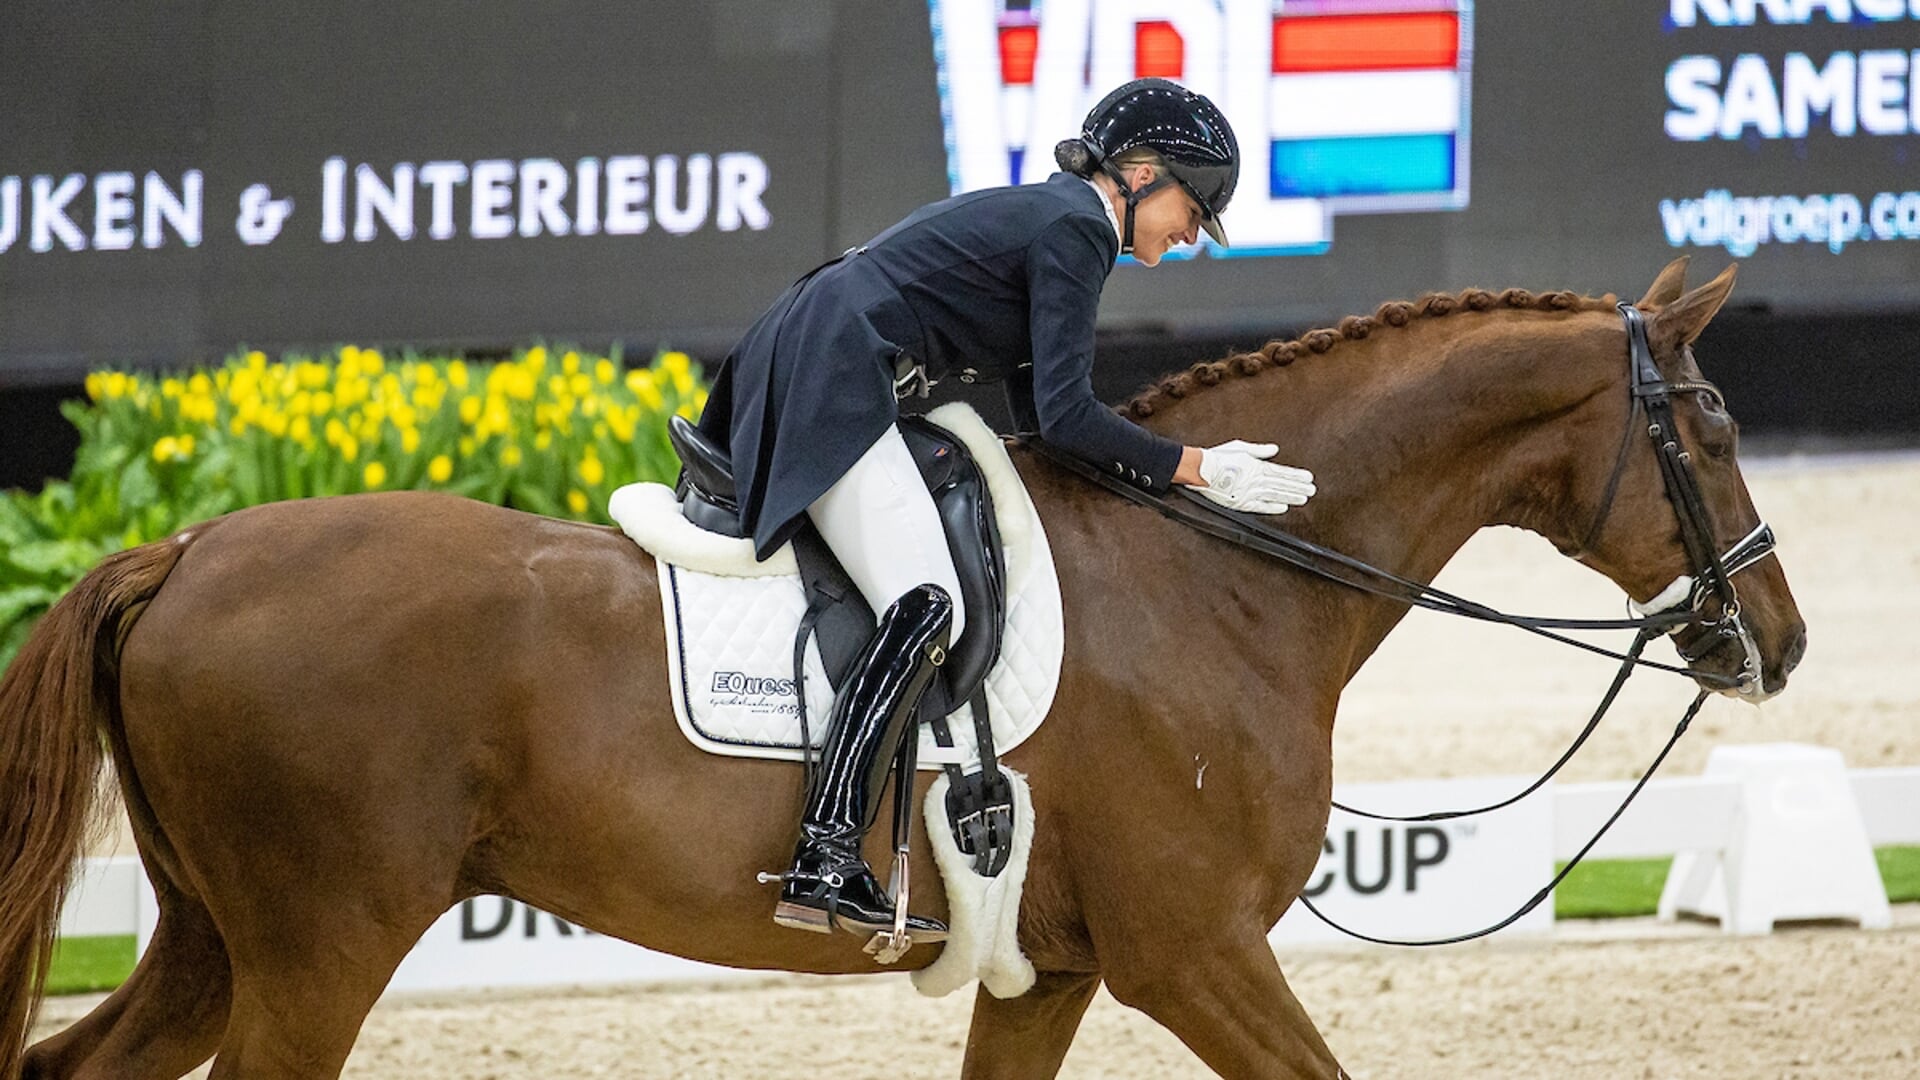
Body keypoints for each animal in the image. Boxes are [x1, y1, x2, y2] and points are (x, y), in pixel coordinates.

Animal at [0, 255, 1797, 1068]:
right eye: (1711, 423)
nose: (1773, 641)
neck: (1221, 584)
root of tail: (187, 550)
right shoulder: (1196, 953)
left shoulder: (1058, 968)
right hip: (320, 943)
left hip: (218, 938)